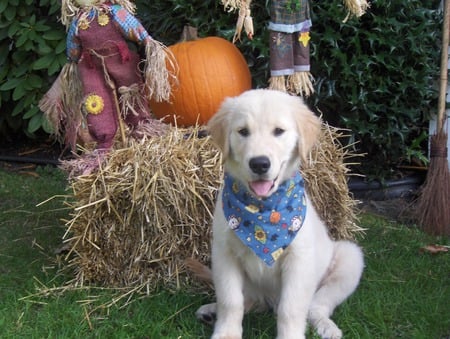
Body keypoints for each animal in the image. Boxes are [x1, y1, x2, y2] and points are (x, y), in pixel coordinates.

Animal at [195, 89, 364, 338]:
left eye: (278, 131)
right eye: (243, 131)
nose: (259, 164)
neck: (262, 211)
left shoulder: (299, 260)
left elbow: (290, 308)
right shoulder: (224, 254)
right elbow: (230, 300)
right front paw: (227, 332)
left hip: (349, 258)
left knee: (316, 306)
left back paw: (326, 326)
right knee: (249, 301)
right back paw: (211, 311)